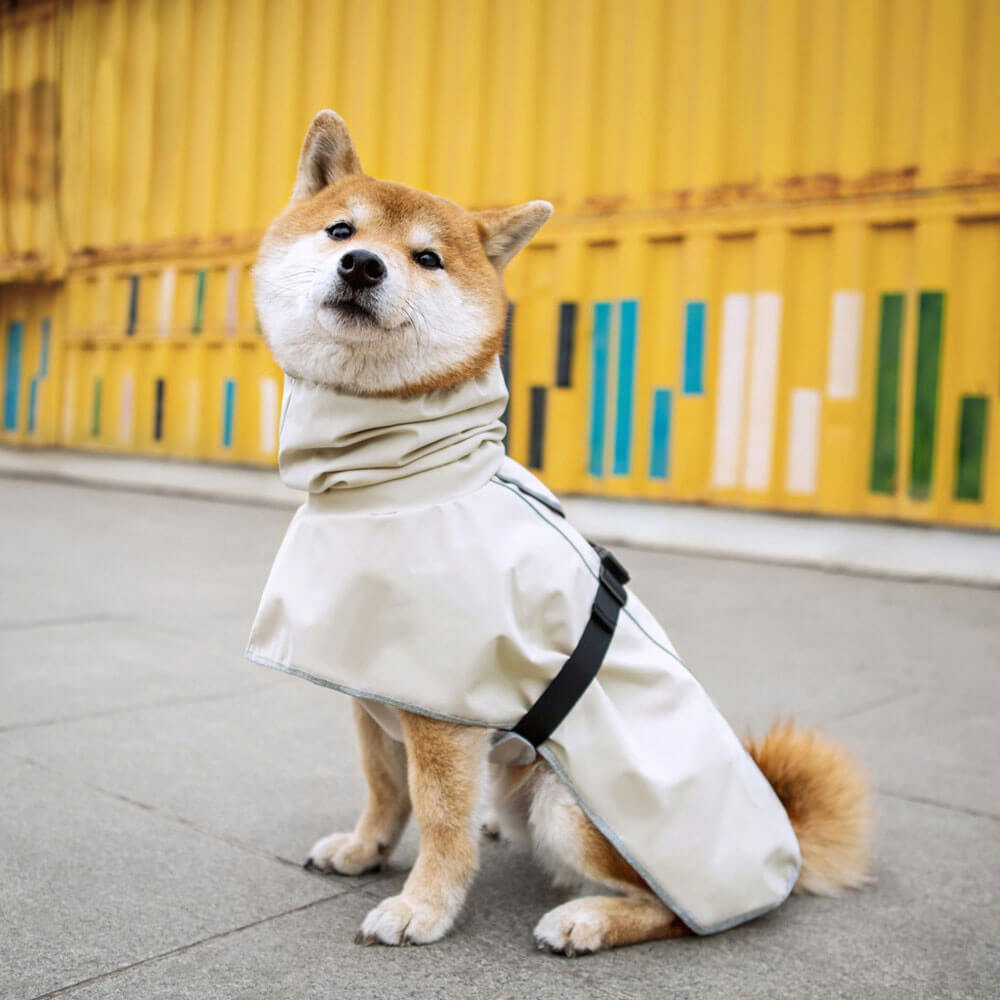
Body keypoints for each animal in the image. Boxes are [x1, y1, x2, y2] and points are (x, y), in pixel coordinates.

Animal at [246, 109, 872, 952]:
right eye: (340, 228)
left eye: (427, 258)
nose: (363, 265)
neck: (390, 482)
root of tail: (787, 846)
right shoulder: (370, 679)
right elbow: (385, 786)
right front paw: (365, 847)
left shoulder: (443, 706)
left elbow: (440, 818)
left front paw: (423, 906)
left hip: (565, 802)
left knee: (672, 913)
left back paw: (589, 920)